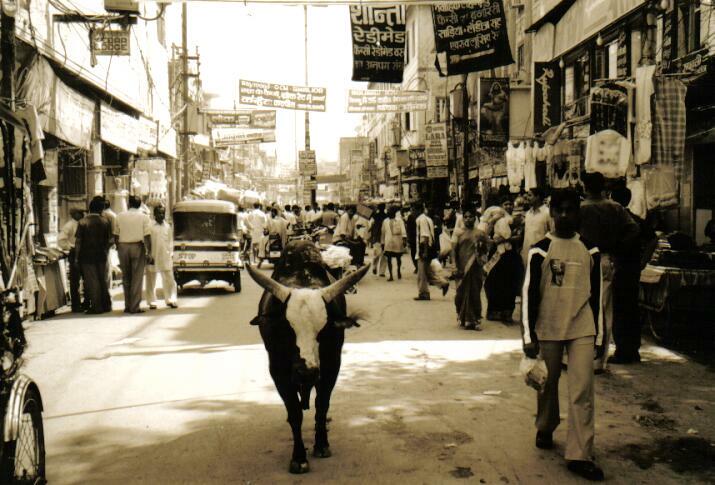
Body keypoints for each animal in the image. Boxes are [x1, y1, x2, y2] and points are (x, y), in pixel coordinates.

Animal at [246, 240, 370, 474]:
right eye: (287, 329)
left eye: (324, 329)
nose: (307, 372)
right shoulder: (278, 370)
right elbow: (295, 412)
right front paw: (299, 458)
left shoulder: (331, 365)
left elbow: (322, 404)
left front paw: (321, 444)